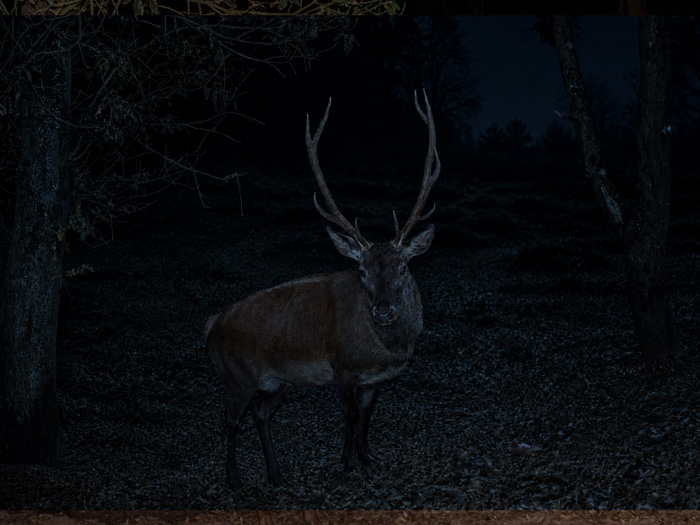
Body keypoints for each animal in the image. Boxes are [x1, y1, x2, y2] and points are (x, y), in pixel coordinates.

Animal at [205, 90, 441, 488]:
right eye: (361, 270)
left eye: (404, 266)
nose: (383, 311)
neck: (383, 350)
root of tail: (211, 325)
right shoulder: (342, 367)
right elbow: (349, 417)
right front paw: (346, 463)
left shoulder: (376, 380)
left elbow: (366, 418)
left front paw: (367, 456)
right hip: (235, 375)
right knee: (229, 420)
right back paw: (234, 478)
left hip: (274, 381)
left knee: (260, 415)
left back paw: (276, 475)